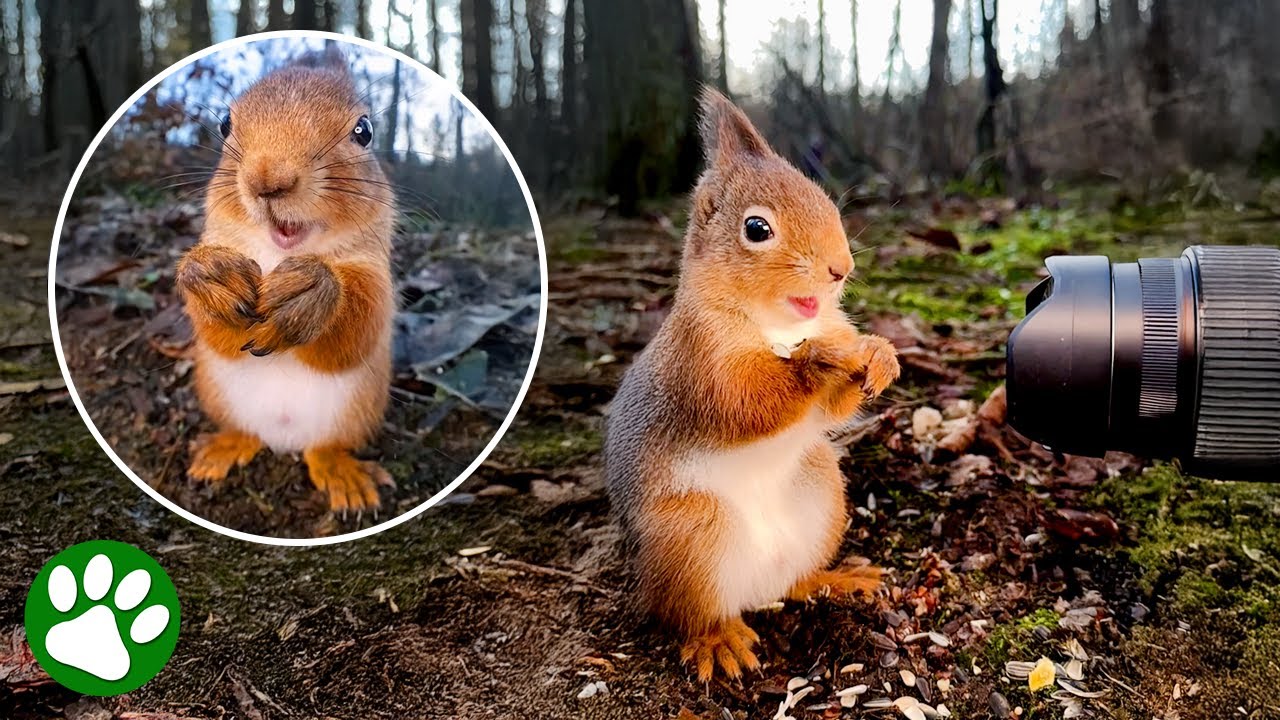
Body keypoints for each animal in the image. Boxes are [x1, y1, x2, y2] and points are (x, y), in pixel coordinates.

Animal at [175, 49, 396, 513]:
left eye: (364, 131)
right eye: (225, 124)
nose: (268, 180)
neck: (281, 254)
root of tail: (283, 438)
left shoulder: (374, 266)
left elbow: (363, 326)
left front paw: (312, 290)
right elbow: (216, 335)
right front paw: (210, 275)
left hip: (356, 413)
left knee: (325, 448)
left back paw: (343, 475)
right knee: (246, 432)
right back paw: (223, 449)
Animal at [604, 89, 901, 682]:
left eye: (826, 200)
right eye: (757, 230)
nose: (841, 267)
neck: (778, 326)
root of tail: (758, 589)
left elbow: (832, 408)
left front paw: (878, 354)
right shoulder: (702, 361)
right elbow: (746, 403)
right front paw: (818, 362)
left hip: (821, 492)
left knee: (797, 580)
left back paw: (836, 579)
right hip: (689, 535)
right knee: (687, 614)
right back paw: (718, 639)